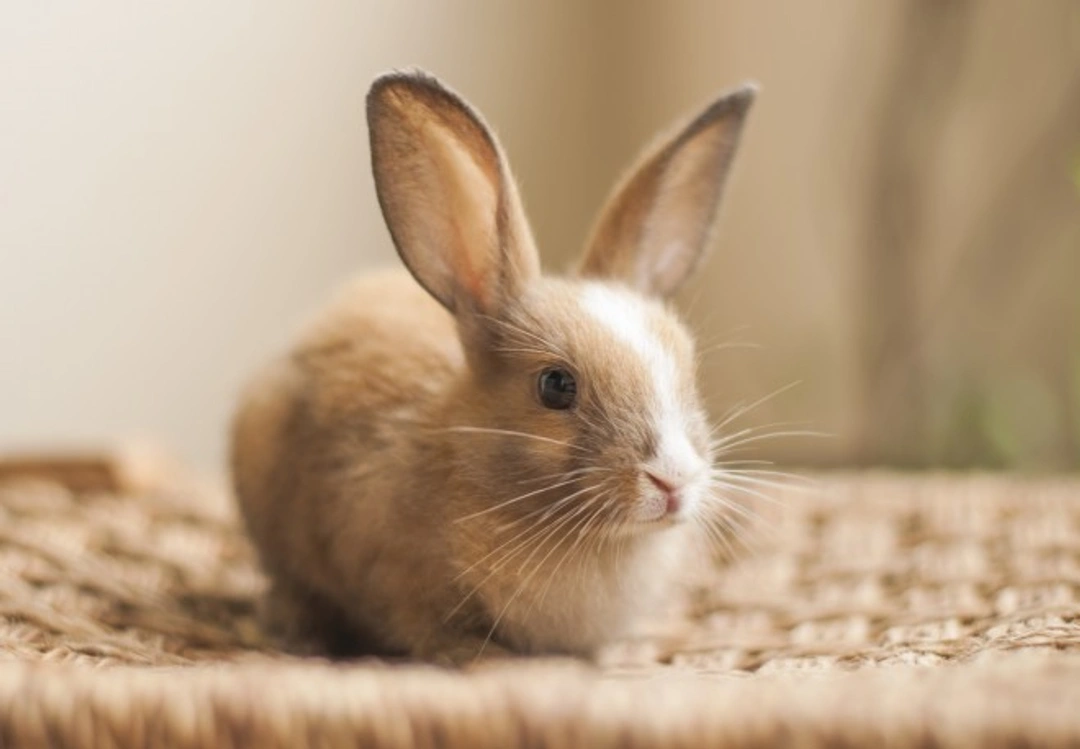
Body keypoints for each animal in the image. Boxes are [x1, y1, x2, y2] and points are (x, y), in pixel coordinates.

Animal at [231, 69, 757, 665]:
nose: (672, 479)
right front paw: (487, 659)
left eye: (688, 369)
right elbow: (428, 631)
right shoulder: (396, 582)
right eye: (555, 386)